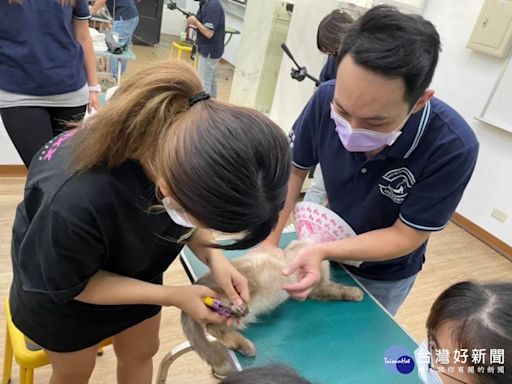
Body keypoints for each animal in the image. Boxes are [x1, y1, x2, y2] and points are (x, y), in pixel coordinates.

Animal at [180, 240, 364, 378]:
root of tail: (198, 284)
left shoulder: (315, 289)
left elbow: (333, 291)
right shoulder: (314, 281)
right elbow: (338, 289)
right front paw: (356, 293)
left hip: (236, 317)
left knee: (217, 328)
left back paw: (244, 346)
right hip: (244, 285)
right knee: (212, 325)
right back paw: (238, 313)